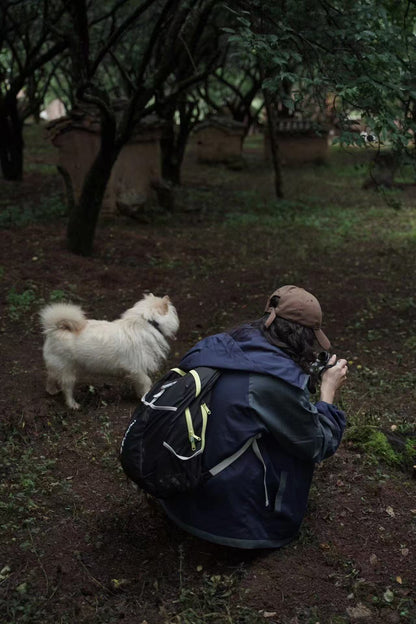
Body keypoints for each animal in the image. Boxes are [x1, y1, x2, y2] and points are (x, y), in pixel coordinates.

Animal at [39, 294, 180, 410]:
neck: (148, 323)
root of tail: (56, 328)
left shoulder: (136, 371)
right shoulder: (136, 369)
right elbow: (146, 382)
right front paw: (145, 396)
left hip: (60, 366)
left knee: (51, 377)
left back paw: (51, 390)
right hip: (67, 371)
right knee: (66, 388)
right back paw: (72, 404)